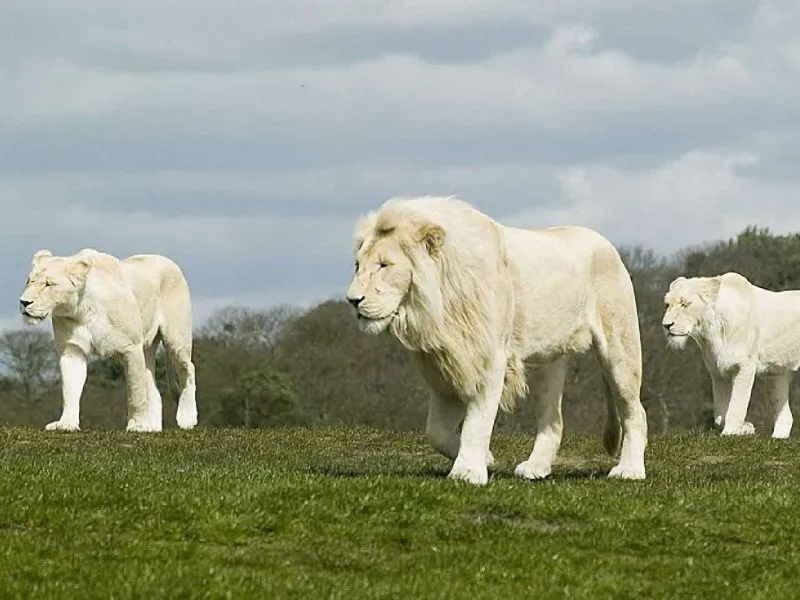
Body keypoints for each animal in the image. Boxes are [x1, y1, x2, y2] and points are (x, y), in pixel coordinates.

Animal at [19, 248, 198, 432]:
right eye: (29, 281)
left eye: (48, 284)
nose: (24, 302)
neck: (80, 309)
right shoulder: (72, 350)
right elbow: (70, 390)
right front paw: (66, 424)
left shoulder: (131, 348)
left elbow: (136, 391)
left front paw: (138, 425)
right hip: (147, 348)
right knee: (153, 387)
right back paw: (153, 427)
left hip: (175, 338)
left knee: (188, 369)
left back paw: (186, 418)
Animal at [346, 197, 648, 488]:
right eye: (358, 265)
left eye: (384, 265)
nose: (352, 300)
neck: (434, 310)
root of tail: (608, 245)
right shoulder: (448, 368)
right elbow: (435, 431)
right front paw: (486, 459)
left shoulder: (486, 360)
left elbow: (476, 422)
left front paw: (468, 472)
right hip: (545, 362)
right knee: (553, 421)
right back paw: (535, 468)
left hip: (619, 348)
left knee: (635, 412)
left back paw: (630, 470)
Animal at [664, 274, 800, 438]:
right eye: (667, 305)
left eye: (685, 304)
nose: (666, 325)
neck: (711, 332)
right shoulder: (718, 372)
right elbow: (719, 416)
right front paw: (746, 428)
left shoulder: (744, 367)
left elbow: (736, 406)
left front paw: (730, 432)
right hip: (777, 374)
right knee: (785, 415)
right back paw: (778, 438)